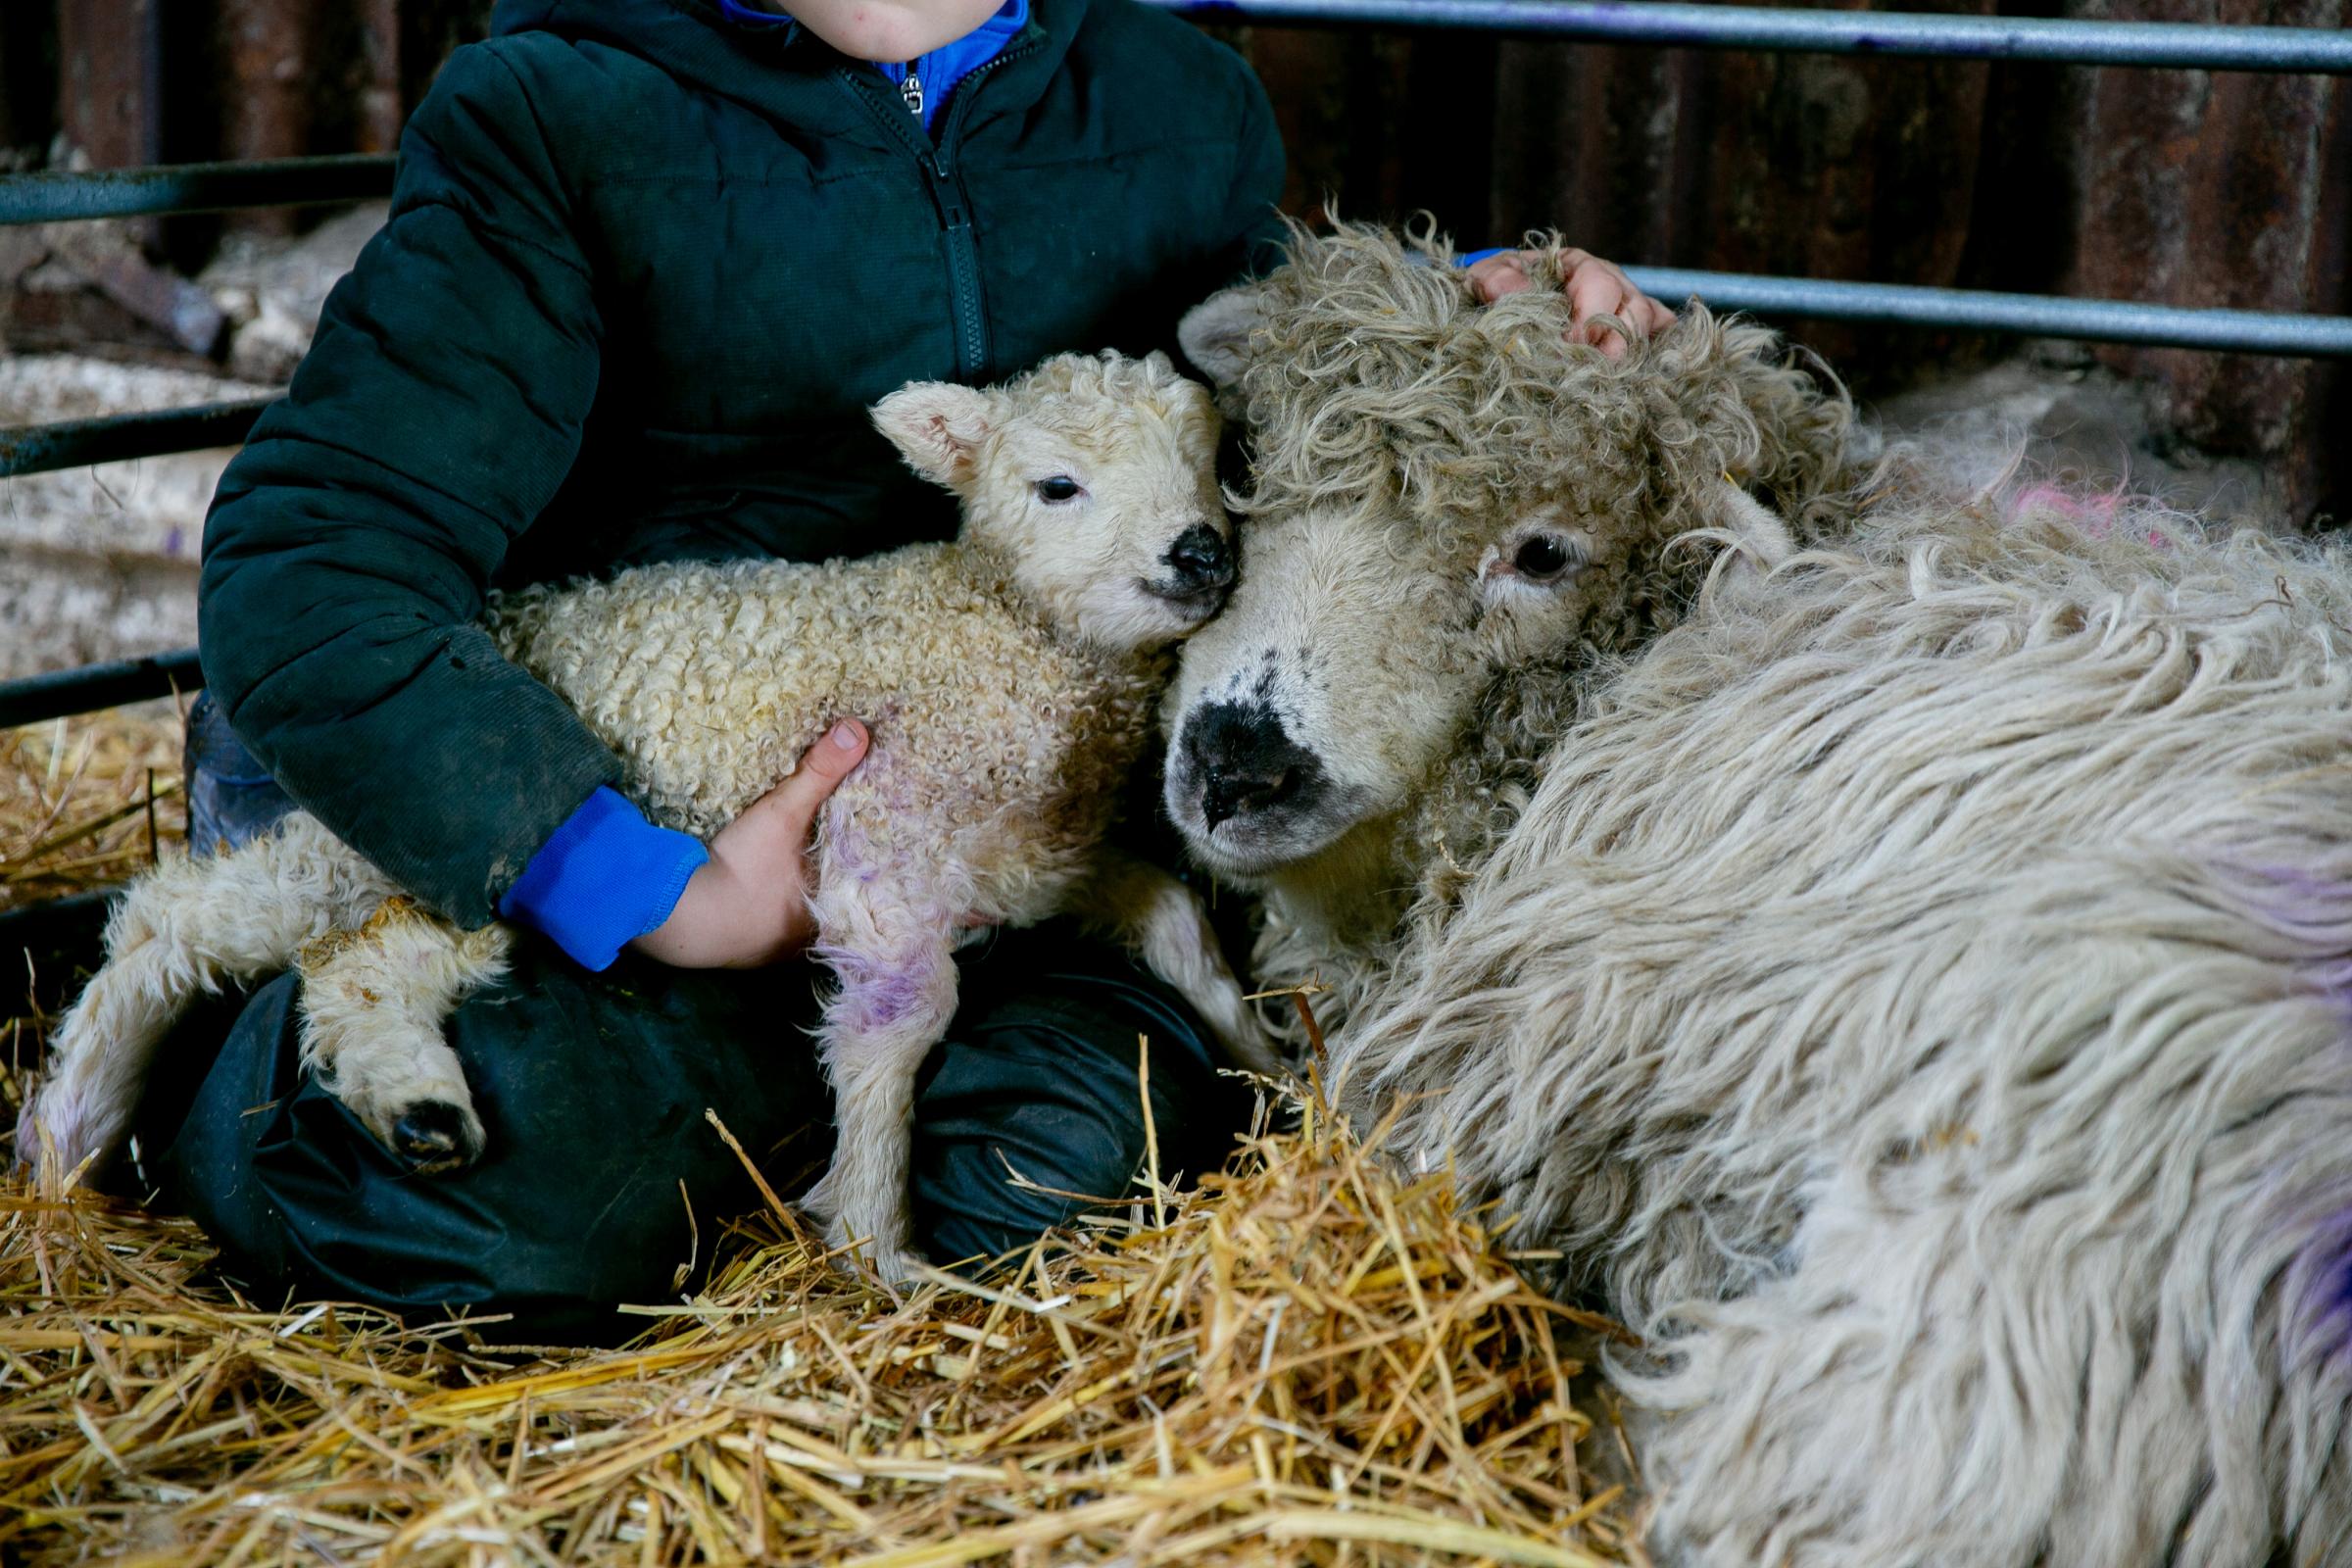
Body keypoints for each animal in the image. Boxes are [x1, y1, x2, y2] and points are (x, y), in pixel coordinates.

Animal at [23, 350, 1270, 1278]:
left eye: (1213, 461)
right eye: (1058, 486)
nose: (1200, 551)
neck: (1001, 636)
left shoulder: (1045, 857)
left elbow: (1178, 924)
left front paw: (1270, 1060)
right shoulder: (884, 843)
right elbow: (900, 1019)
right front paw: (876, 1239)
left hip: (467, 872)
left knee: (365, 967)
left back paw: (418, 1107)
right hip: (395, 817)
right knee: (172, 924)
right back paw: (65, 1135)